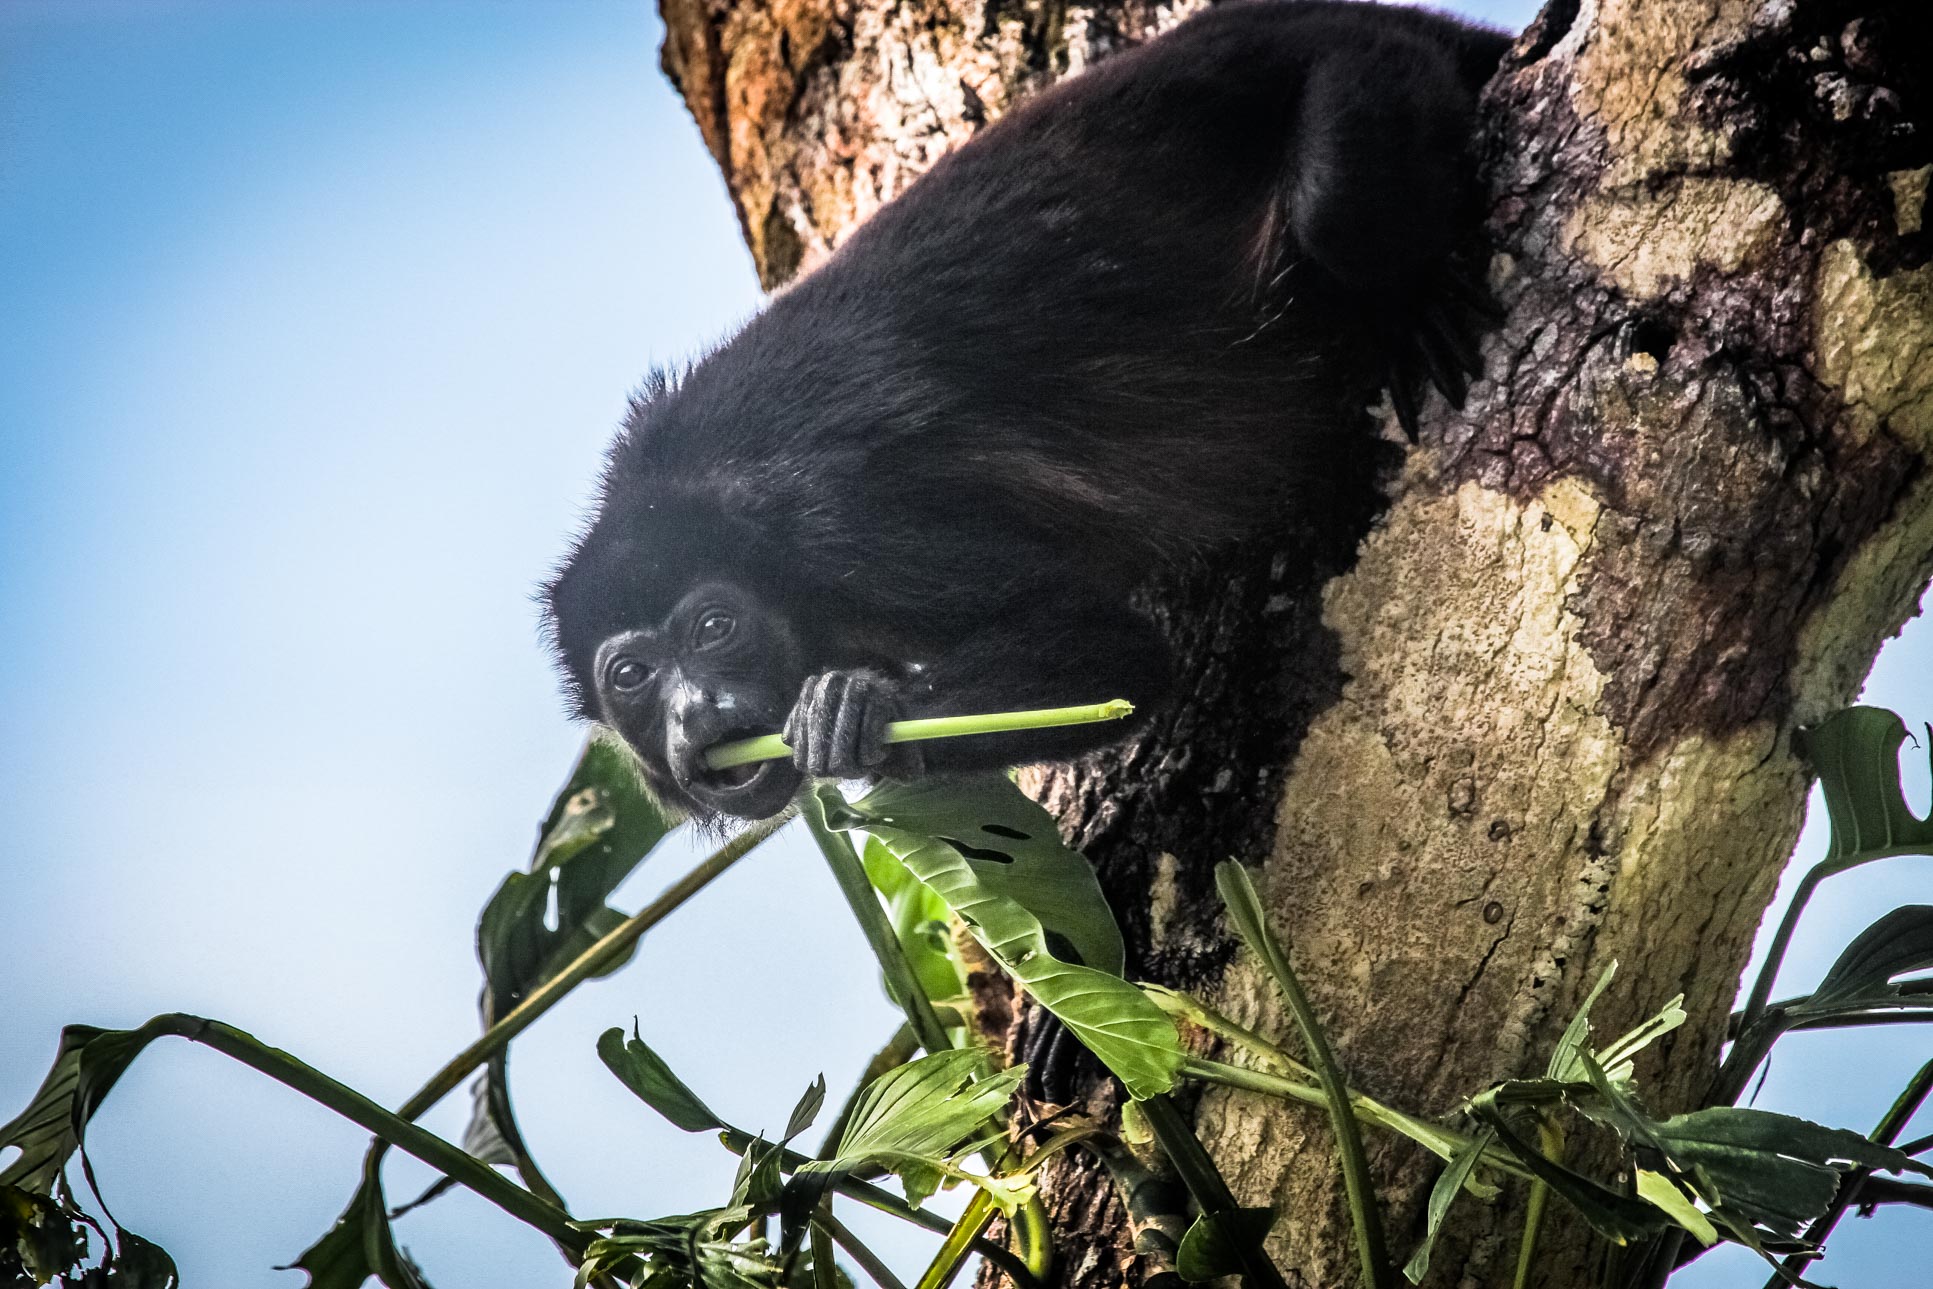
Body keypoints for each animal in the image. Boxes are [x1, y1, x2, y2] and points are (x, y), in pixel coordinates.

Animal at [544, 0, 1512, 823]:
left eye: (715, 629)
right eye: (632, 675)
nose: (694, 709)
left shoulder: (836, 523)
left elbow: (1110, 645)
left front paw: (861, 711)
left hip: (1361, 63)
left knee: (1333, 212)